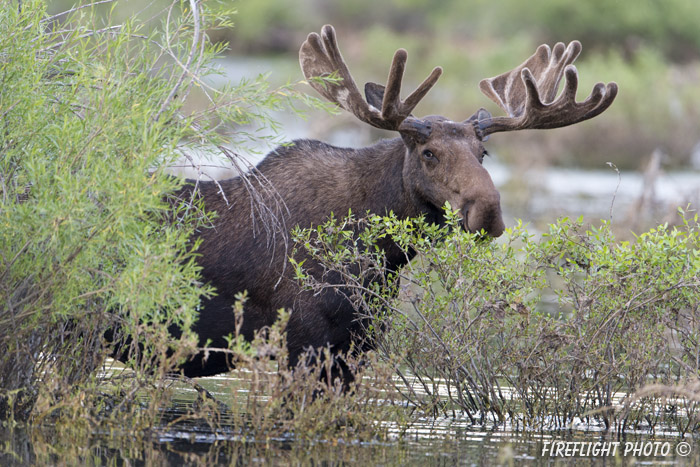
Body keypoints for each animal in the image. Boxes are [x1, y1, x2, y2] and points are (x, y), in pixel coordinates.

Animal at [135, 23, 612, 386]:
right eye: (428, 153)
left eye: (484, 153)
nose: (488, 213)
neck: (381, 256)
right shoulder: (303, 344)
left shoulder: (356, 346)